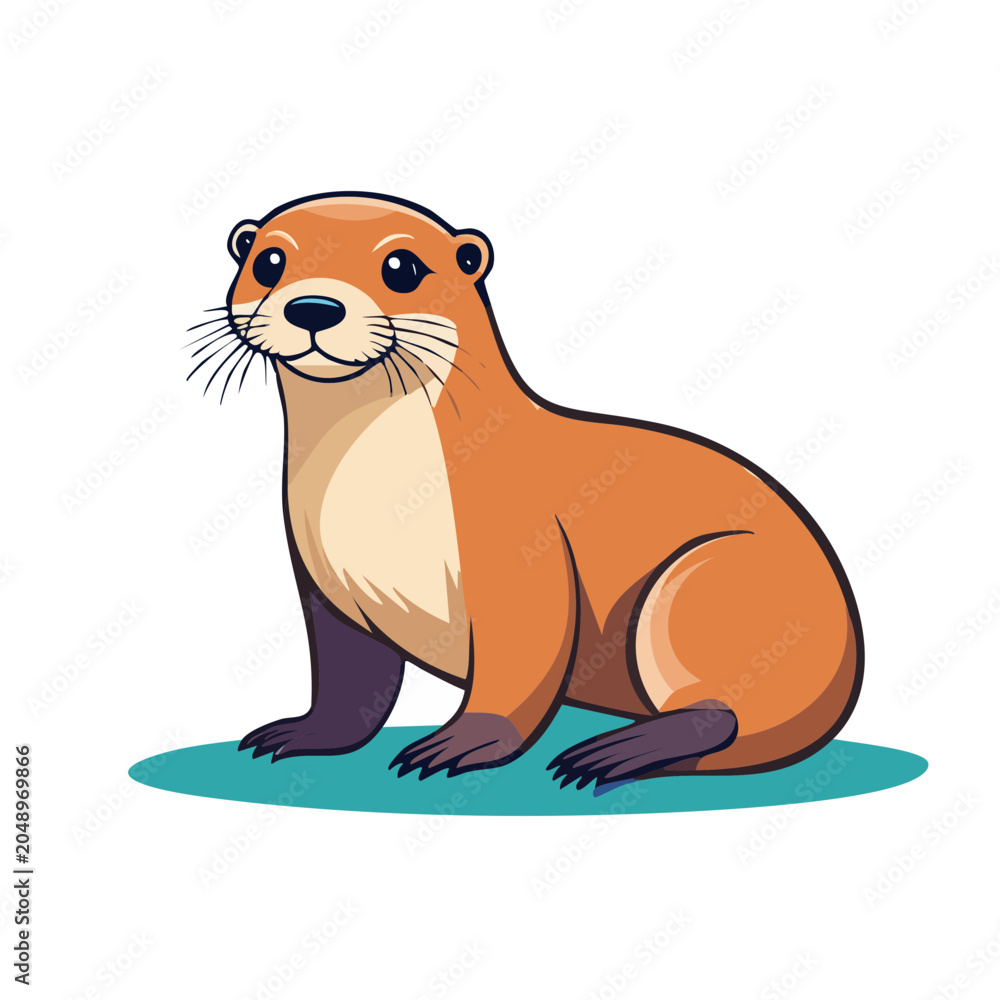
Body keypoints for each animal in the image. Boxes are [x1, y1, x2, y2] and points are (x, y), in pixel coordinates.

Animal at [193, 191, 862, 791]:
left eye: (401, 267)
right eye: (269, 261)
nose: (313, 306)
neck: (383, 491)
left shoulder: (520, 558)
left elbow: (517, 668)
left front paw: (459, 744)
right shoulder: (323, 580)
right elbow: (350, 682)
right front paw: (305, 733)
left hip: (706, 574)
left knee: (722, 713)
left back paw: (611, 753)